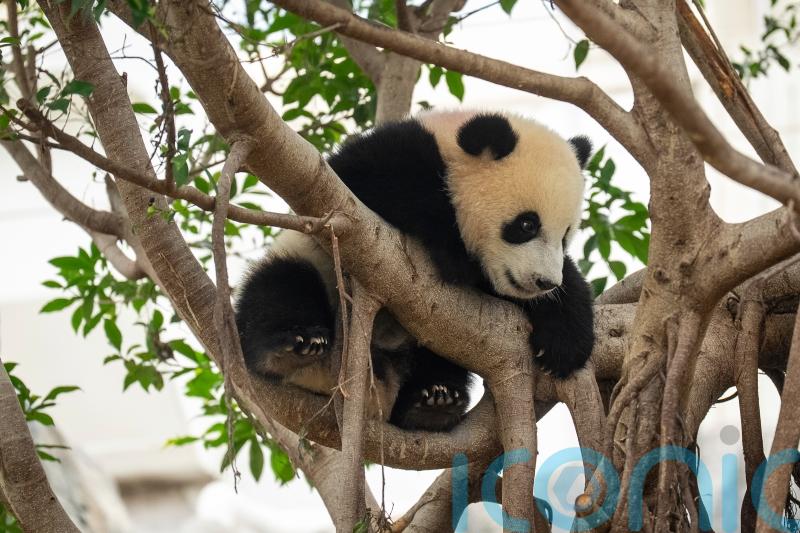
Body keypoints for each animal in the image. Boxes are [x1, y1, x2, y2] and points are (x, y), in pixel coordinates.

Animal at [234, 110, 595, 432]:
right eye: (526, 224)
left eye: (566, 234)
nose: (544, 282)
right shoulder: (384, 158)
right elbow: (372, 184)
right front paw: (455, 253)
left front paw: (565, 342)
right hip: (309, 265)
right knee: (280, 286)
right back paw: (292, 348)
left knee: (439, 359)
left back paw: (432, 401)